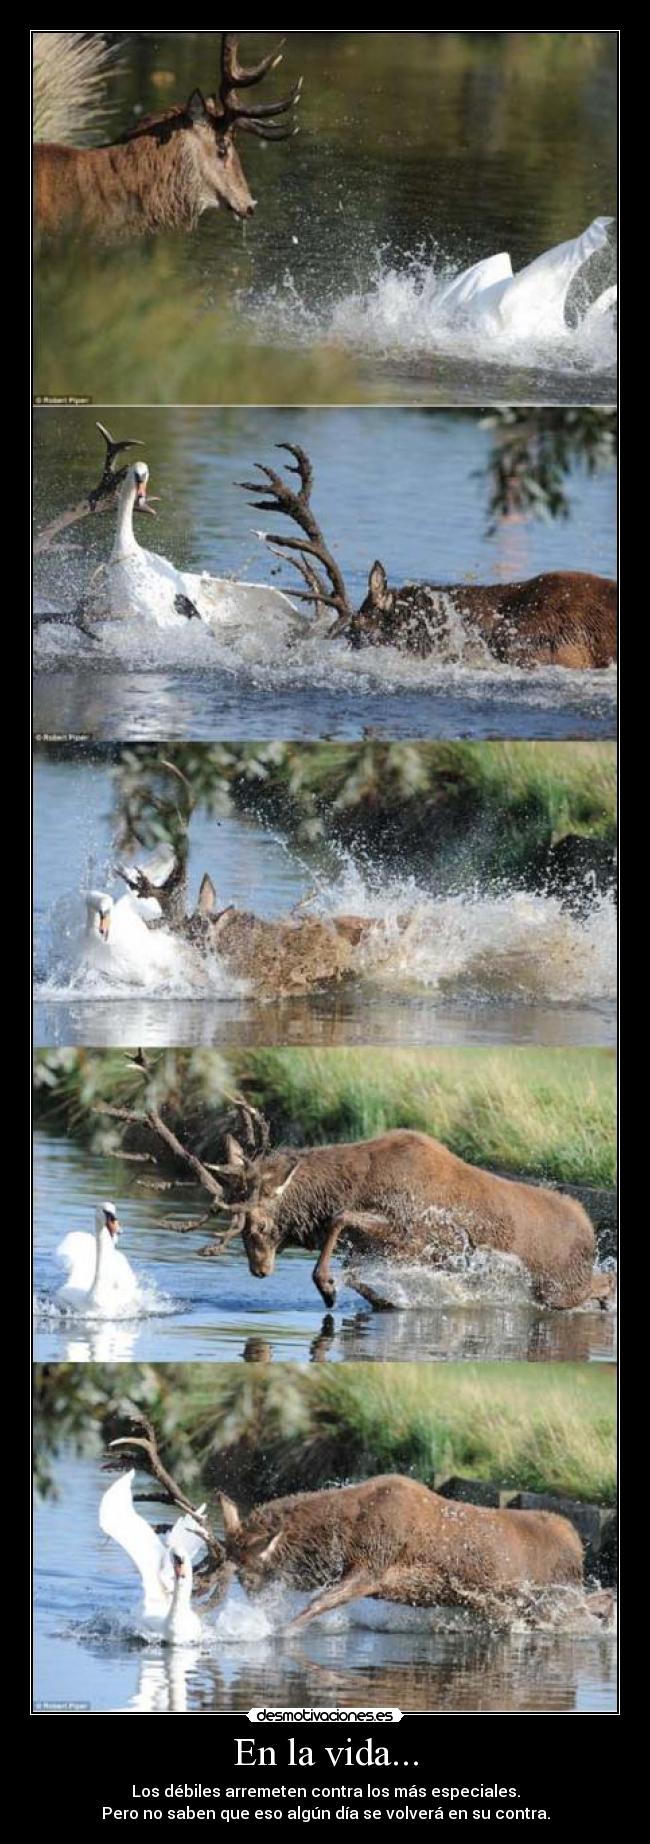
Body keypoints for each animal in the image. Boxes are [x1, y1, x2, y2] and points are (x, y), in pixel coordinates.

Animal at [216, 1106, 616, 1312]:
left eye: (259, 1225)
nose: (258, 1269)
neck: (350, 1188)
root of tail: (588, 1226)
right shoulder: (382, 1248)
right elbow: (358, 1275)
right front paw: (385, 1301)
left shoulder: (411, 1235)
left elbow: (340, 1220)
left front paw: (327, 1286)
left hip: (559, 1286)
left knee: (604, 1281)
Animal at [217, 1475, 583, 1637]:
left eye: (246, 1573)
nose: (256, 1604)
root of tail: (578, 1544)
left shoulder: (371, 1568)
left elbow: (316, 1604)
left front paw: (276, 1631)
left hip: (556, 1601)